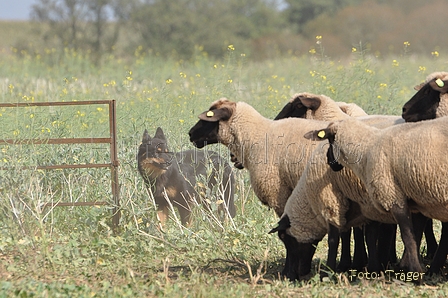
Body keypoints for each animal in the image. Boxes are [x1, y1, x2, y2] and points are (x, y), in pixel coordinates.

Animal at [306, 116, 448, 278]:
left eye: (330, 140)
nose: (329, 162)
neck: (366, 149)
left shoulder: (393, 197)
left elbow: (408, 237)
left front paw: (415, 274)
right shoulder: (413, 202)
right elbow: (415, 235)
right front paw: (409, 268)